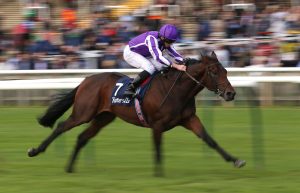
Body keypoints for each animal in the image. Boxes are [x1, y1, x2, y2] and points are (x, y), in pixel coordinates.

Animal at [27, 51, 246, 173]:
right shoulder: (157, 125)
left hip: (104, 117)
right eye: (214, 72)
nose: (231, 93)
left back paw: (69, 167)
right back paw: (35, 151)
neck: (175, 90)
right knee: (61, 126)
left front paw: (236, 160)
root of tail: (86, 80)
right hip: (83, 113)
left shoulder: (189, 119)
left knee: (82, 137)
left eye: (226, 71)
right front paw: (159, 174)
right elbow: (158, 148)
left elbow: (209, 140)